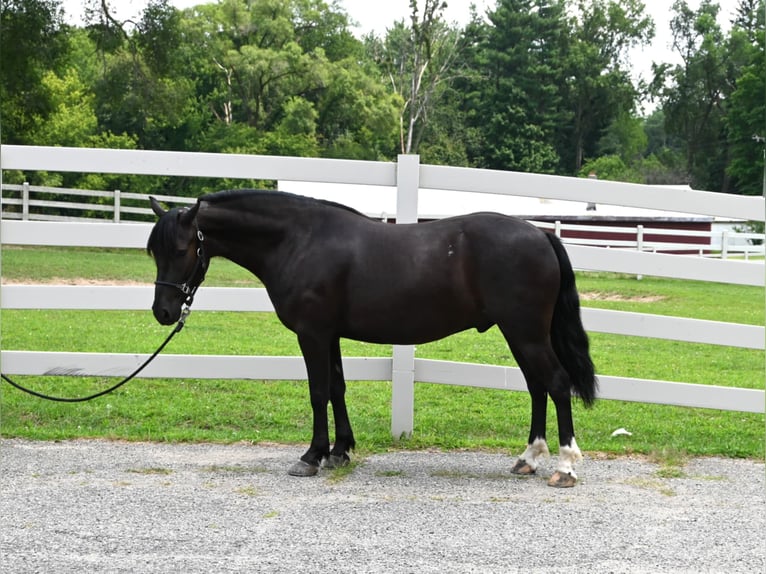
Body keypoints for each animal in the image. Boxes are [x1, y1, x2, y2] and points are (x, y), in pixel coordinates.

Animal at [147, 189, 597, 488]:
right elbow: (337, 389)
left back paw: (564, 467)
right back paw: (528, 459)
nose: (163, 312)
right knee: (537, 387)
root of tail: (541, 235)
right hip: (520, 333)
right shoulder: (329, 335)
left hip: (525, 332)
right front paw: (340, 451)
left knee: (557, 384)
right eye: (154, 251)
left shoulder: (312, 334)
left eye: (183, 249)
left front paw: (311, 456)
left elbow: (317, 392)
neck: (300, 241)